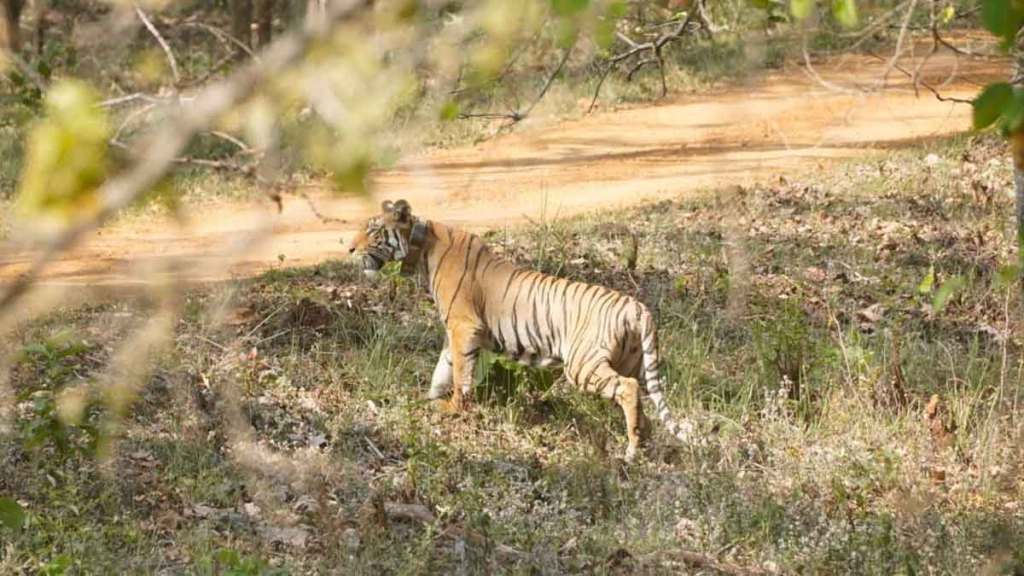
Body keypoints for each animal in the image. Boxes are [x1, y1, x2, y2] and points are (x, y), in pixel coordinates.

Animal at [346, 196, 696, 457]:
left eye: (374, 230)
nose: (349, 249)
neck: (420, 248)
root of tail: (637, 307)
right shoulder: (453, 334)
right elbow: (442, 370)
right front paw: (430, 400)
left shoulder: (463, 327)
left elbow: (460, 373)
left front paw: (453, 408)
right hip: (633, 361)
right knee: (645, 404)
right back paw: (643, 443)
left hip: (583, 365)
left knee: (628, 389)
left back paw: (632, 450)